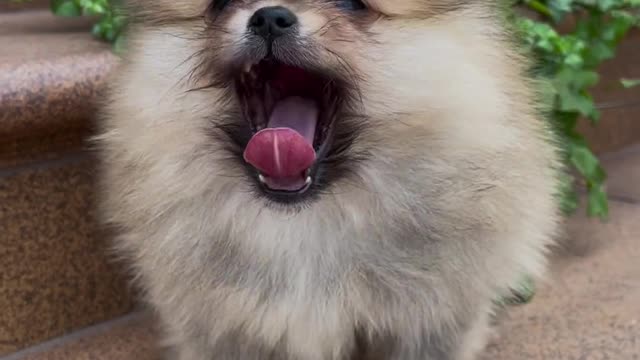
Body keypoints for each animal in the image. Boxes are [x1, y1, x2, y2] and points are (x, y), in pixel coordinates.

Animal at [94, 0, 560, 360]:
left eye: (351, 4)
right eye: (221, 4)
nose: (269, 17)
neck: (302, 224)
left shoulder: (429, 321)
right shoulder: (224, 327)